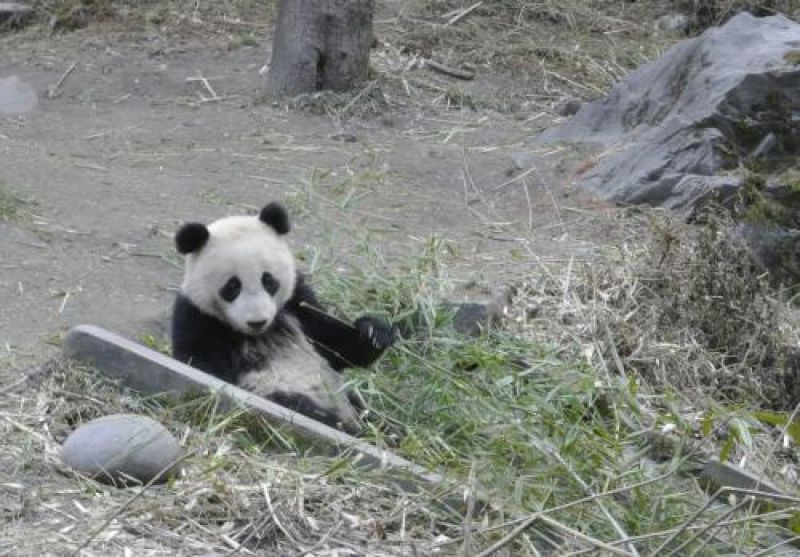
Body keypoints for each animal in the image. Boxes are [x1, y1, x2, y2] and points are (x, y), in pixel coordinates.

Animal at [170, 202, 396, 432]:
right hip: (280, 389)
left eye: (268, 280)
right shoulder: (197, 317)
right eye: (232, 286)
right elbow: (202, 367)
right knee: (299, 406)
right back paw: (342, 426)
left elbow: (336, 346)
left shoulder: (297, 304)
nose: (257, 321)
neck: (261, 333)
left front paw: (374, 332)